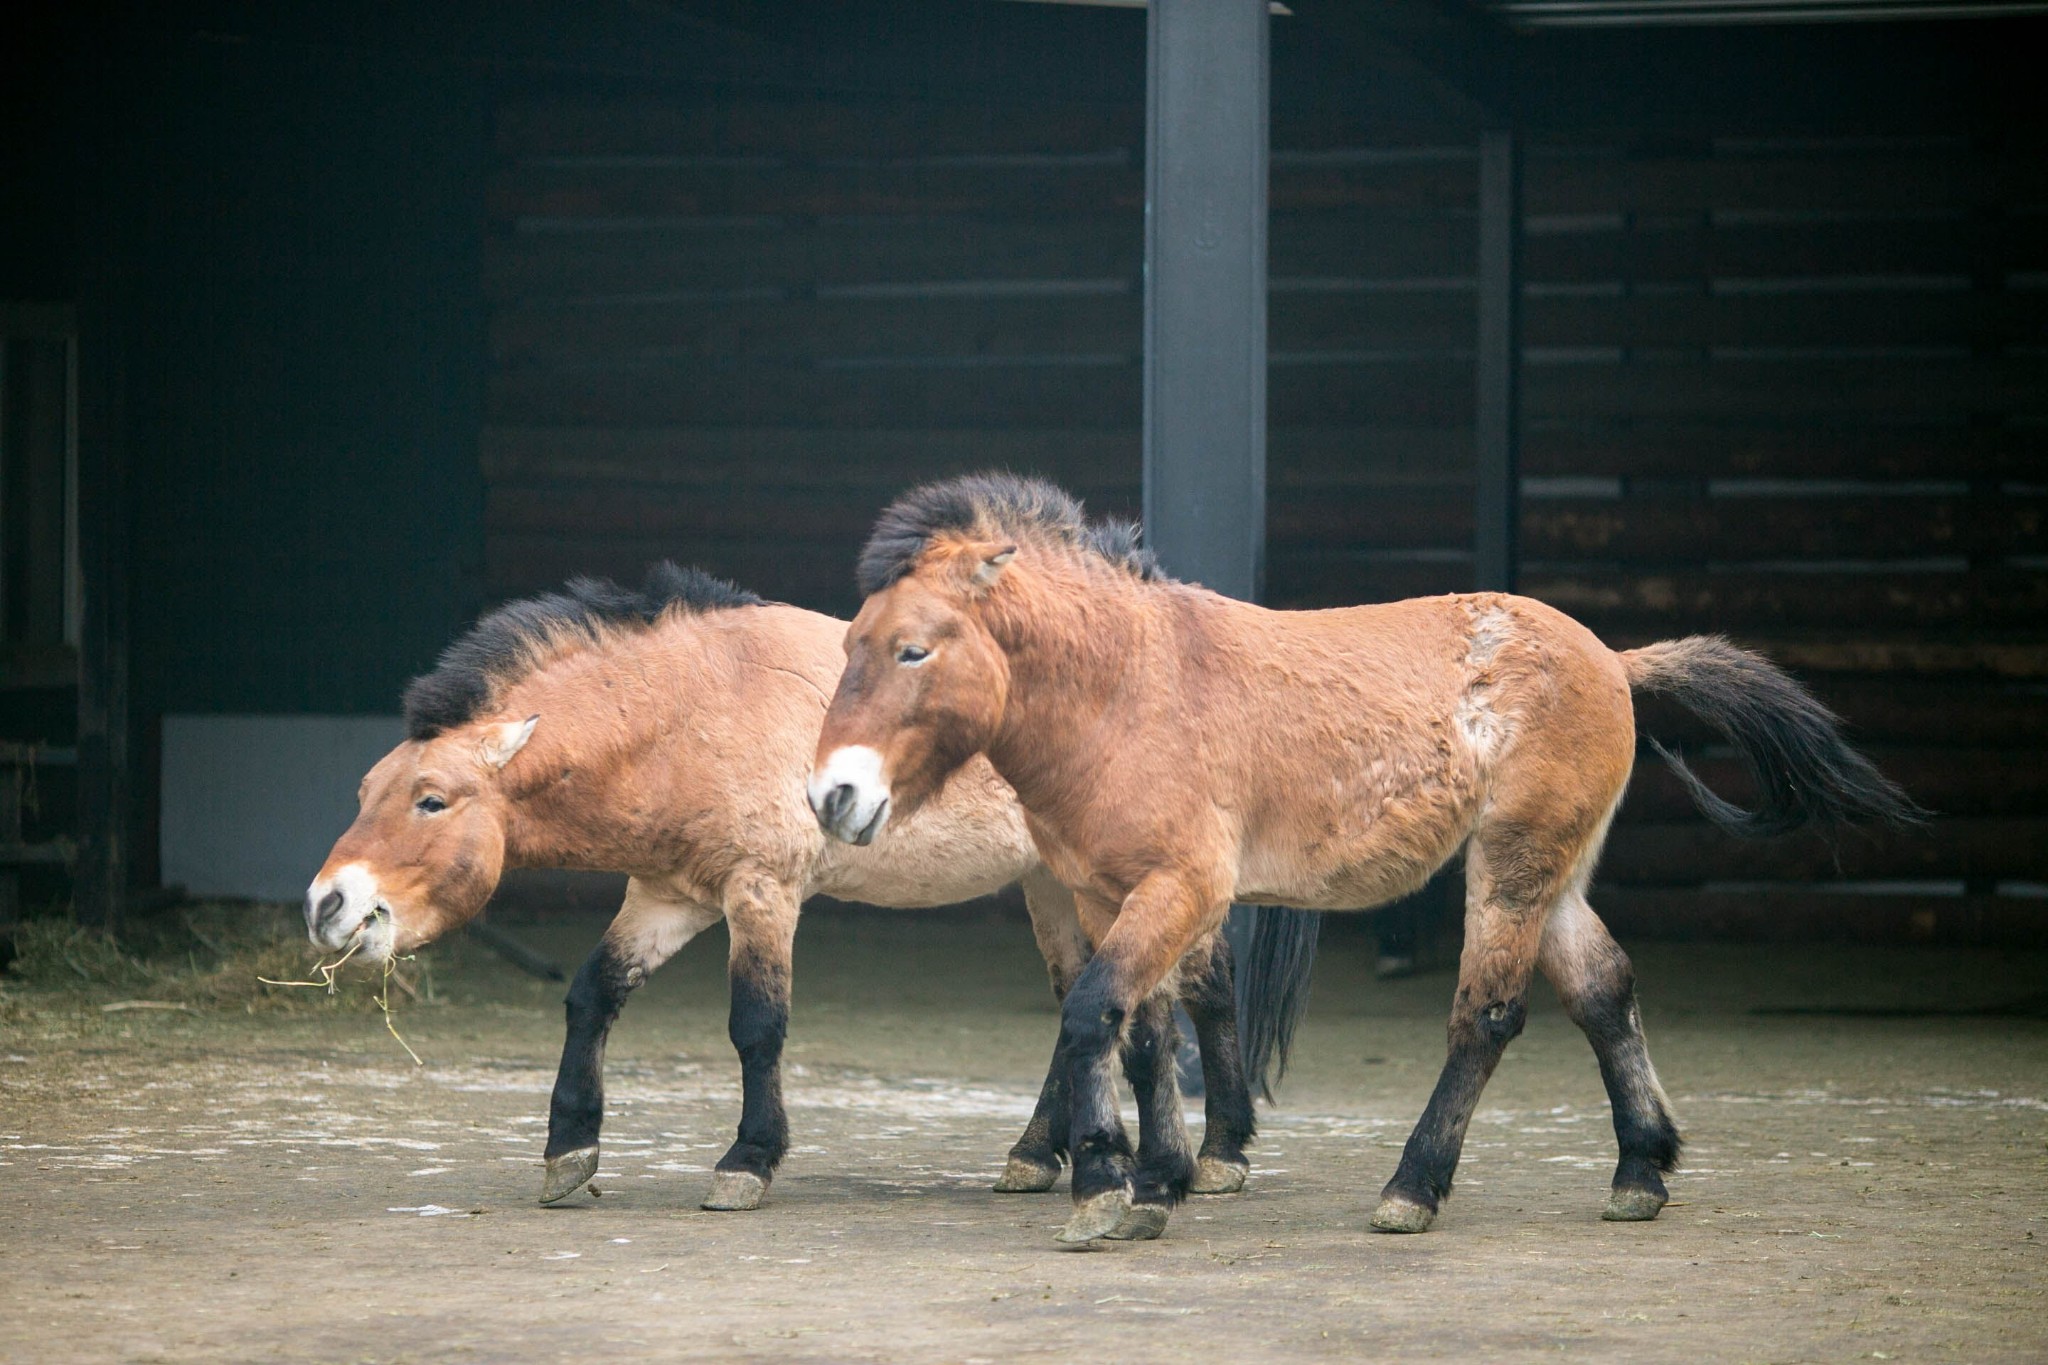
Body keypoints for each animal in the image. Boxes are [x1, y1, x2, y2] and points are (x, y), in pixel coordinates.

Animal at [303, 560, 1277, 1219]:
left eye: (431, 799)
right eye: (362, 790)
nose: (327, 904)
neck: (689, 709)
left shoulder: (761, 892)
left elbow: (756, 1024)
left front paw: (748, 1159)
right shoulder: (667, 895)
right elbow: (592, 996)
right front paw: (570, 1148)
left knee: (1204, 986)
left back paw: (1218, 1152)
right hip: (1051, 884)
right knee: (1084, 996)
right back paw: (1040, 1155)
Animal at [806, 474, 1925, 1244]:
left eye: (912, 649)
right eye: (850, 643)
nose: (832, 796)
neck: (1126, 686)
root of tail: (1612, 659)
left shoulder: (1178, 888)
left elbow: (1094, 1015)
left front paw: (1105, 1189)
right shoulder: (1100, 892)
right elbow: (1137, 1035)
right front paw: (1152, 1181)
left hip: (1513, 865)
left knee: (1487, 1017)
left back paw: (1412, 1188)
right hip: (1553, 872)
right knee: (1604, 989)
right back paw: (1639, 1172)